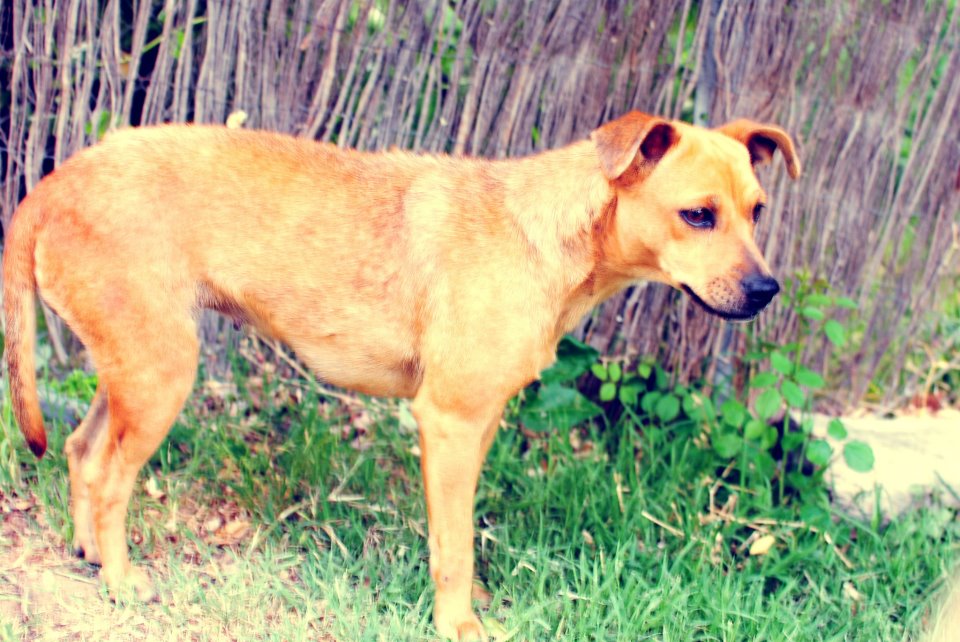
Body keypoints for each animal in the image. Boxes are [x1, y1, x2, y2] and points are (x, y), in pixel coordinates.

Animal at [3, 111, 799, 640]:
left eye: (759, 211)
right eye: (697, 216)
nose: (767, 291)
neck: (545, 232)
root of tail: (55, 182)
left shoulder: (478, 427)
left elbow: (457, 539)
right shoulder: (448, 424)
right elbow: (455, 549)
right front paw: (459, 626)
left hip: (134, 370)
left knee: (81, 453)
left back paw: (87, 554)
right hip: (161, 377)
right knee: (112, 478)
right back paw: (120, 581)